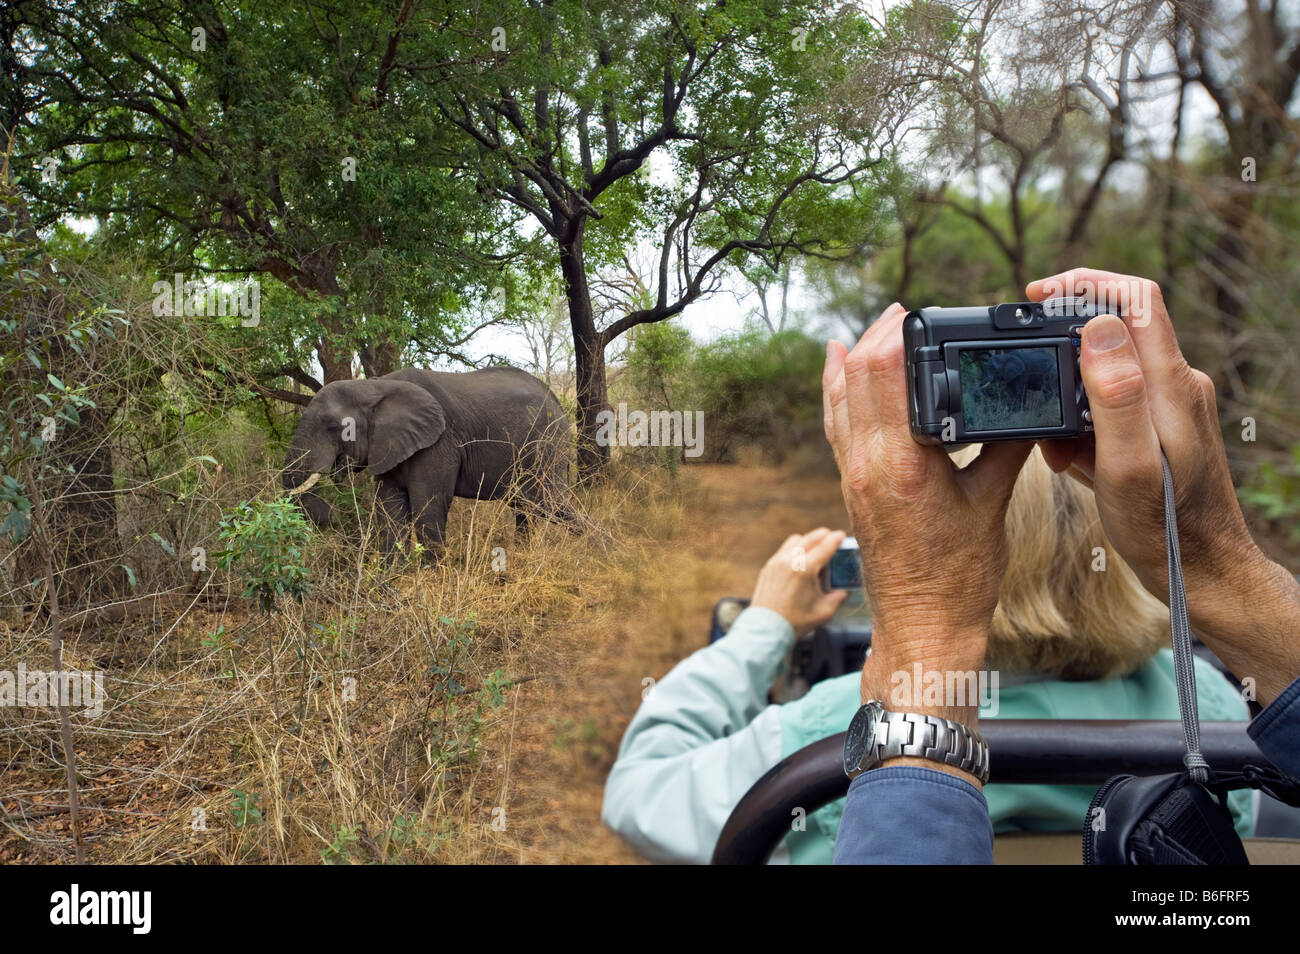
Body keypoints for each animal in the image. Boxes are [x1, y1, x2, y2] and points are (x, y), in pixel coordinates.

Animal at [284, 369, 579, 556]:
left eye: (334, 428)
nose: (332, 516)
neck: (373, 386)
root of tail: (558, 402)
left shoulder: (438, 443)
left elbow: (428, 507)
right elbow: (390, 511)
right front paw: (392, 585)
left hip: (546, 448)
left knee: (552, 503)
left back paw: (589, 551)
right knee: (525, 506)